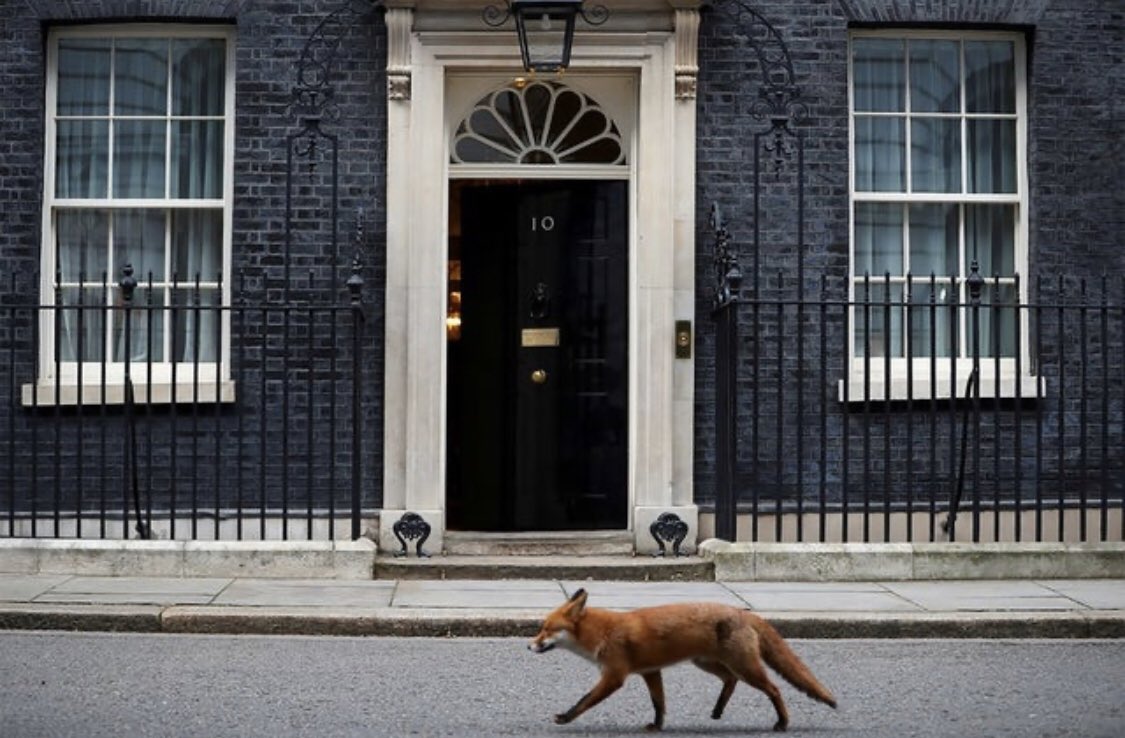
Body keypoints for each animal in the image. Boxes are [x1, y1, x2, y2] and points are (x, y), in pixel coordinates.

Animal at [527, 588, 837, 732]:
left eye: (546, 629)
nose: (529, 646)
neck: (602, 632)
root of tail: (742, 612)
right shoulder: (651, 672)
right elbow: (659, 704)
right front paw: (657, 726)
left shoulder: (614, 676)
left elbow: (584, 701)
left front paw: (565, 717)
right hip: (709, 663)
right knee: (730, 680)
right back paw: (717, 710)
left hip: (744, 667)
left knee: (774, 688)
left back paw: (782, 722)